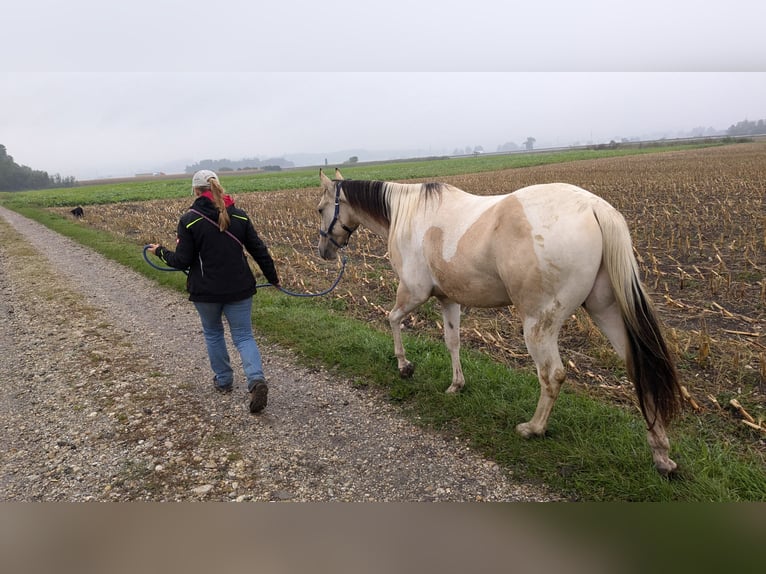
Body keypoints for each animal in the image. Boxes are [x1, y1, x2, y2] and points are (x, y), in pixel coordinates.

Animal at [316, 169, 684, 474]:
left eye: (320, 209)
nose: (324, 251)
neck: (408, 215)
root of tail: (594, 208)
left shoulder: (413, 293)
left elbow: (392, 320)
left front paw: (405, 366)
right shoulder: (448, 299)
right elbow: (452, 341)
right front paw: (456, 385)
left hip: (539, 324)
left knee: (552, 375)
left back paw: (533, 429)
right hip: (605, 311)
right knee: (637, 369)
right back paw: (661, 454)